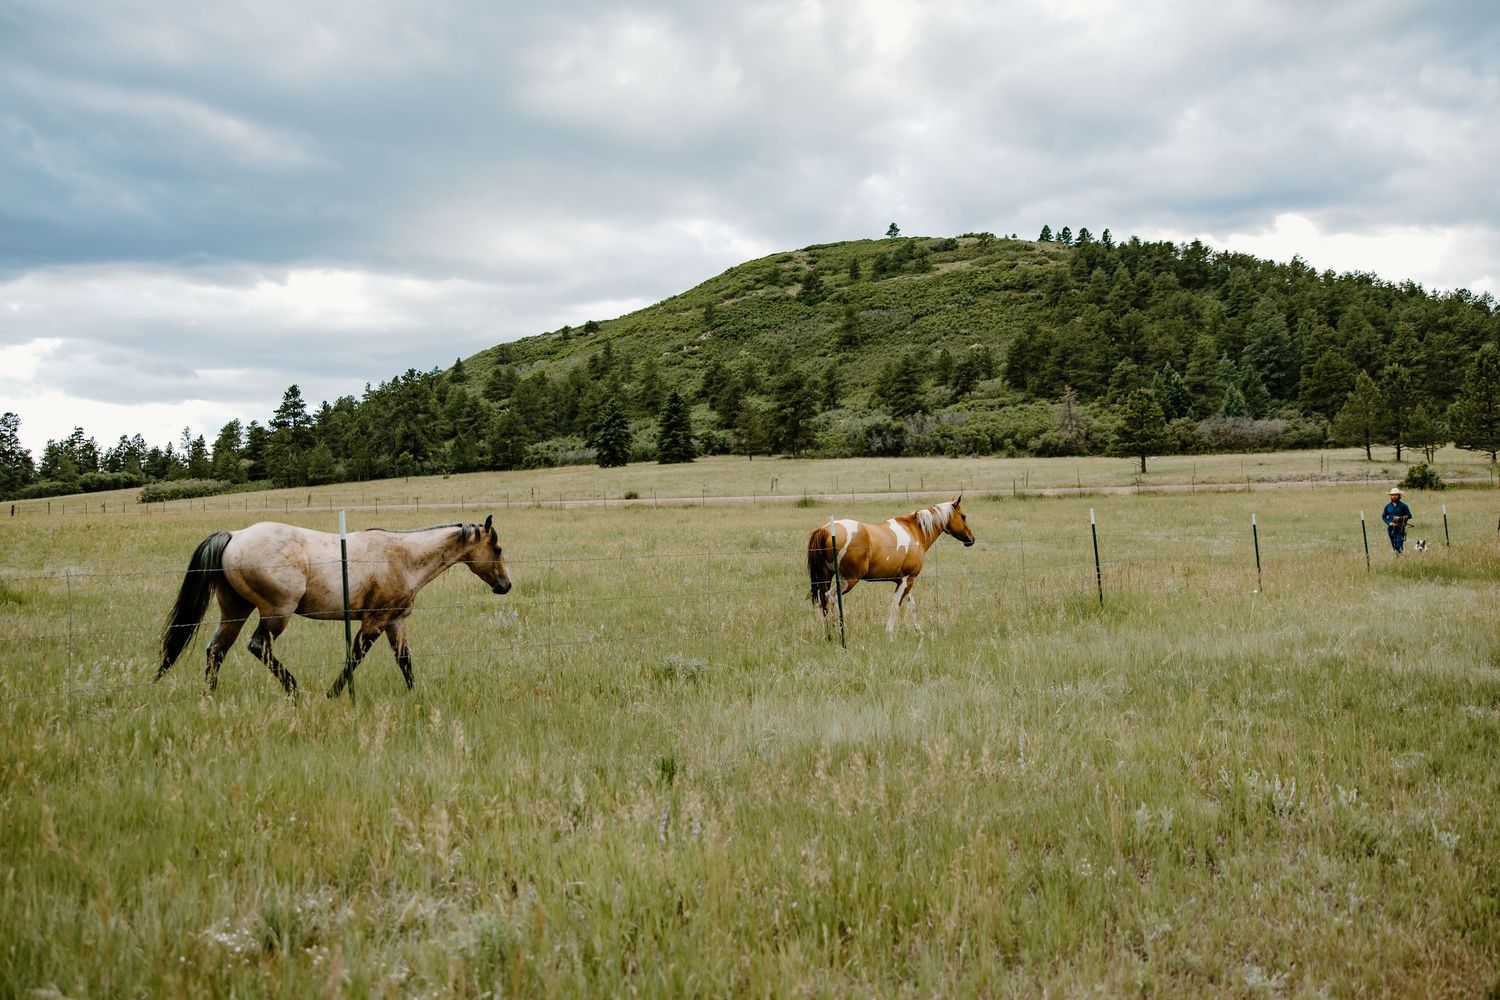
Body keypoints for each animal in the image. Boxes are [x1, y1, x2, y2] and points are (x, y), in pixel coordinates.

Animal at [156, 516, 512, 697]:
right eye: (497, 548)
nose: (505, 585)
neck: (402, 557)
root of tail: (234, 536)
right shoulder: (374, 622)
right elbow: (355, 657)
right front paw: (333, 694)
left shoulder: (395, 622)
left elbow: (405, 661)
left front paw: (416, 696)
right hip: (276, 613)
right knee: (258, 647)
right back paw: (295, 690)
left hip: (234, 611)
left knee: (216, 650)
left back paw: (209, 696)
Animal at [806, 496, 974, 637]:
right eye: (963, 516)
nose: (971, 539)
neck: (915, 531)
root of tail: (824, 530)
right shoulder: (908, 579)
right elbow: (896, 605)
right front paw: (890, 634)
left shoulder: (904, 581)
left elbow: (911, 605)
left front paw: (919, 632)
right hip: (849, 581)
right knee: (831, 597)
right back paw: (840, 629)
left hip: (826, 578)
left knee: (824, 601)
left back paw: (829, 635)